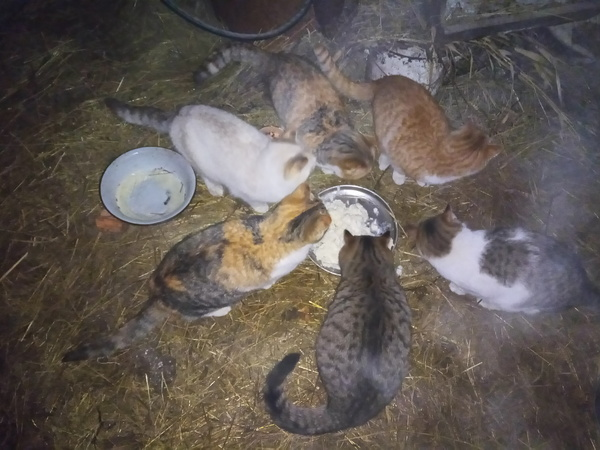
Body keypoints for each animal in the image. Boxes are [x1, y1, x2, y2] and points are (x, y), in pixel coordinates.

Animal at [62, 184, 332, 362]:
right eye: (327, 220)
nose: (329, 215)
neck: (269, 231)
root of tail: (159, 294)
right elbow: (268, 281)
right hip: (204, 302)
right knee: (192, 316)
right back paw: (221, 310)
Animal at [105, 98, 316, 213]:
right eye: (310, 164)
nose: (315, 158)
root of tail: (177, 116)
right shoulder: (243, 192)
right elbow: (255, 202)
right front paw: (262, 208)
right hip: (200, 163)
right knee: (205, 176)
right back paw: (215, 189)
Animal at [312, 43, 501, 186]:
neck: (440, 151)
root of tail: (385, 80)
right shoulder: (397, 152)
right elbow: (397, 167)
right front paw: (398, 177)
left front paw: (422, 182)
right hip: (381, 127)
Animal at [405, 205, 600, 314]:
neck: (455, 245)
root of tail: (583, 285)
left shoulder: (475, 285)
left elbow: (466, 288)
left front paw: (456, 288)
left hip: (517, 301)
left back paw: (488, 304)